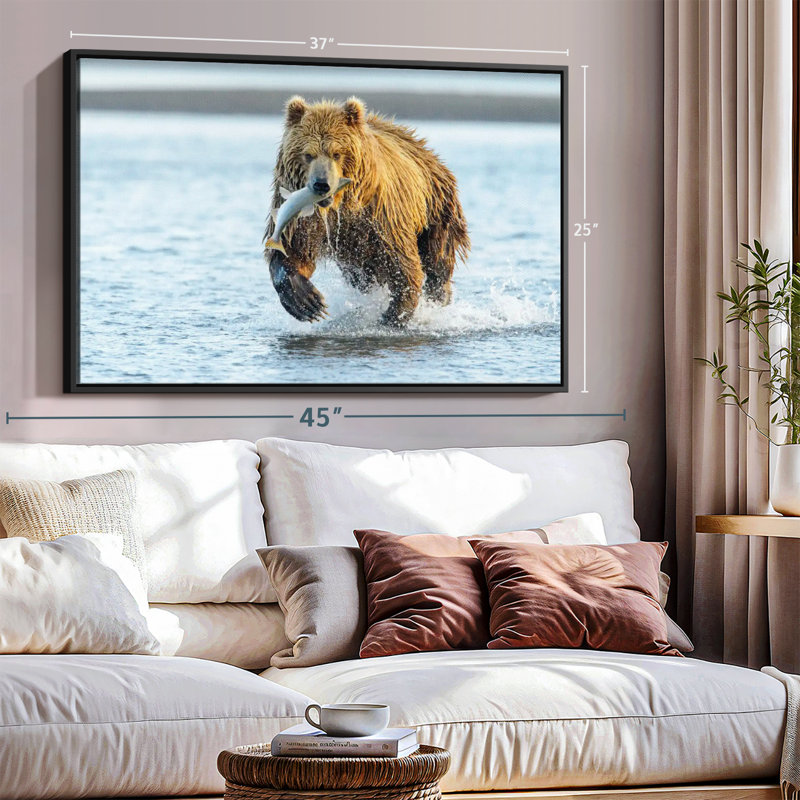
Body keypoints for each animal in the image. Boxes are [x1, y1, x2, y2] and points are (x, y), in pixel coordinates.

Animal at [263, 95, 470, 327]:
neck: (339, 206)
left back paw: (439, 295)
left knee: (438, 258)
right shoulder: (302, 218)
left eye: (337, 153)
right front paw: (308, 302)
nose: (321, 184)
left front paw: (394, 315)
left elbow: (402, 263)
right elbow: (294, 251)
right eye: (308, 154)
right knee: (361, 276)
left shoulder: (382, 215)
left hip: (437, 207)